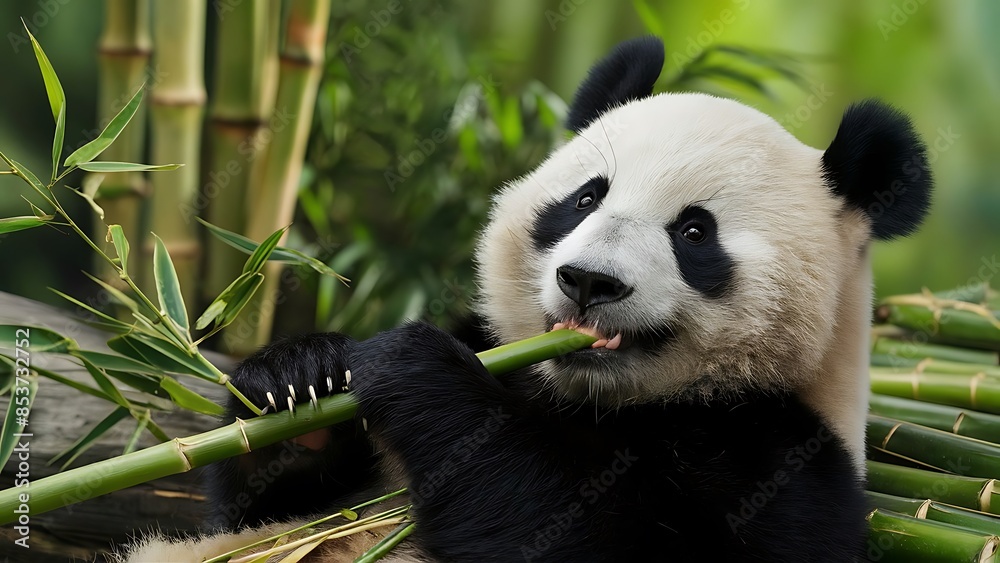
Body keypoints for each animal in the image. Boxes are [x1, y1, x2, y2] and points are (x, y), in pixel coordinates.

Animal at [124, 36, 932, 562]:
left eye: (695, 232)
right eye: (586, 198)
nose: (590, 281)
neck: (587, 396)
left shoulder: (779, 459)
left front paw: (418, 370)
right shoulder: (493, 344)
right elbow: (272, 510)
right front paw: (300, 378)